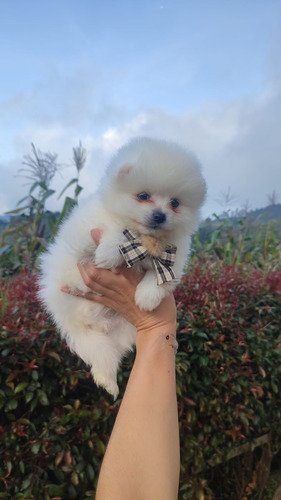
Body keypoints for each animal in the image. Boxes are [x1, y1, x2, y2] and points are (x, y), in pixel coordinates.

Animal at [38, 137, 205, 398]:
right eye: (143, 195)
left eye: (175, 203)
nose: (160, 215)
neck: (147, 239)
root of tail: (94, 323)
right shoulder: (84, 232)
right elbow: (117, 230)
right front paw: (109, 253)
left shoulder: (175, 257)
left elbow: (161, 276)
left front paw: (146, 297)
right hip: (75, 321)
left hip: (123, 332)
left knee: (105, 356)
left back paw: (107, 380)